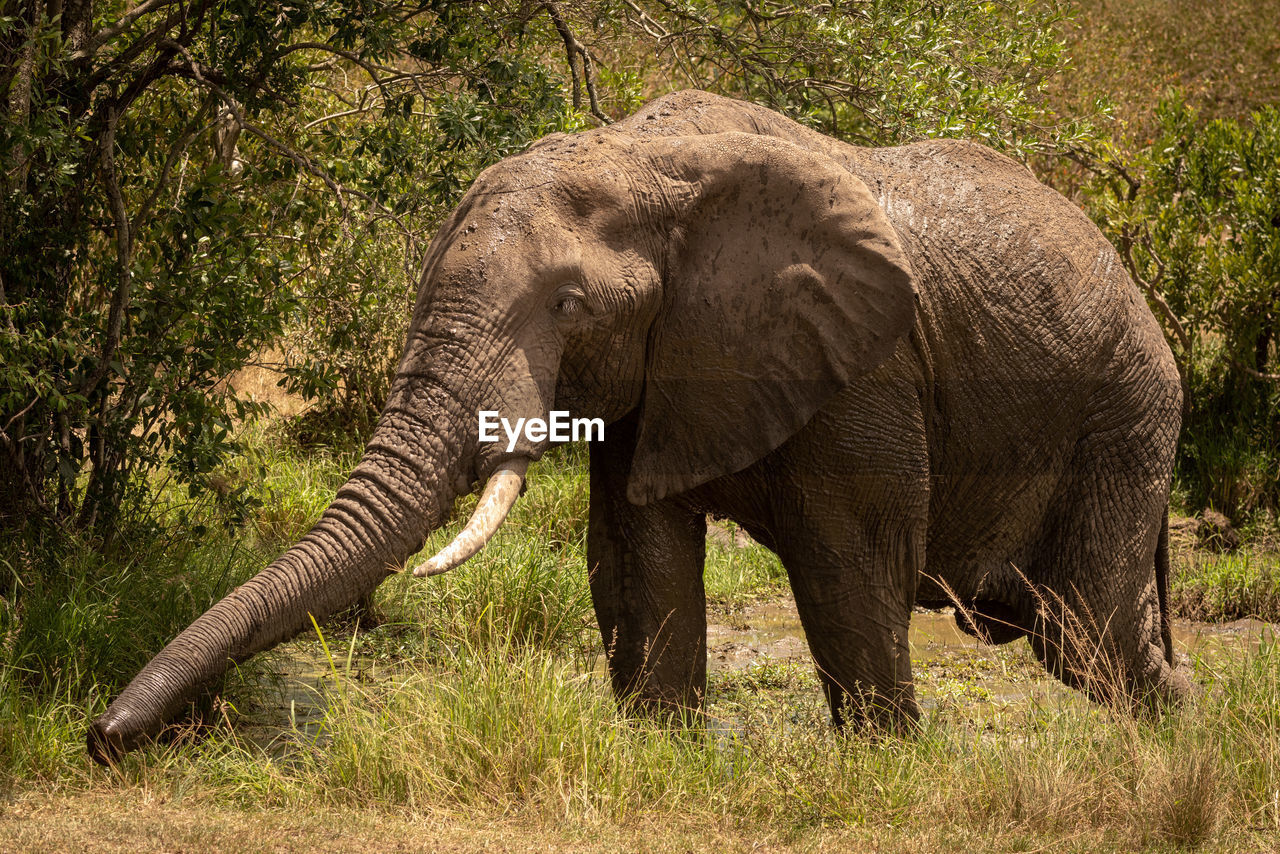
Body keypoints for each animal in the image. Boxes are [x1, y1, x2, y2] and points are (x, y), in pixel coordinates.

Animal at [87, 92, 1187, 763]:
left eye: (569, 304)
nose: (108, 735)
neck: (644, 158)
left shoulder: (864, 371)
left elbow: (847, 564)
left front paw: (884, 769)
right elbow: (634, 555)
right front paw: (663, 752)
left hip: (1125, 411)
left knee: (1083, 627)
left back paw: (1173, 751)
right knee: (1087, 627)